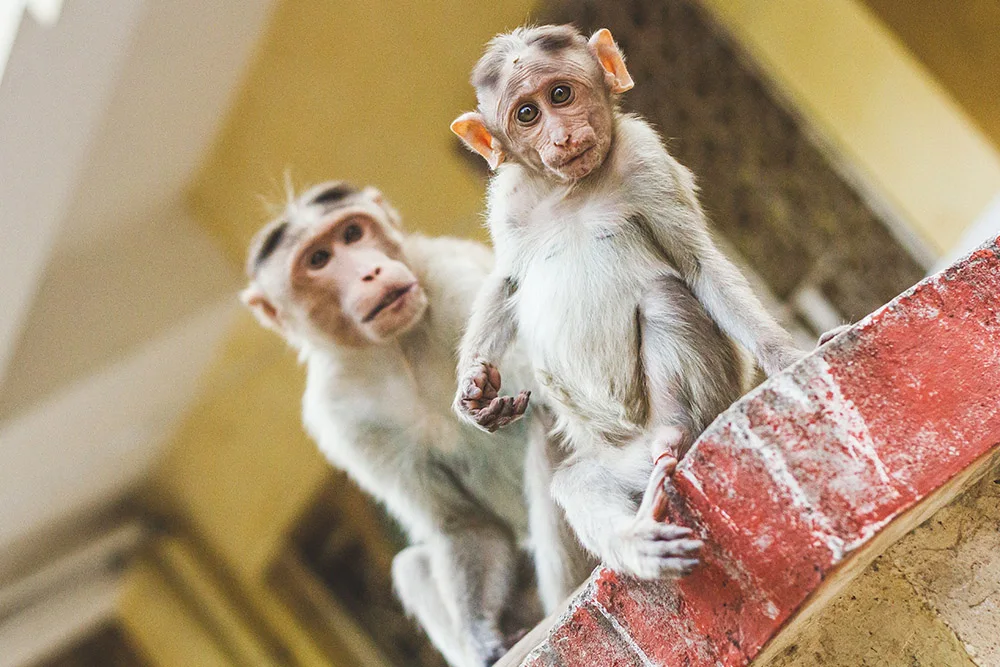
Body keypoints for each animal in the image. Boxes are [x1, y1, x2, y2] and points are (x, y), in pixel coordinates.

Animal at [239, 181, 588, 667]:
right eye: (318, 259)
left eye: (352, 233)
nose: (370, 272)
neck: (399, 345)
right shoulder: (340, 415)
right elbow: (462, 524)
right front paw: (480, 636)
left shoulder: (455, 278)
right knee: (412, 566)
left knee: (550, 423)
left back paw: (565, 600)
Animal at [454, 24, 804, 580]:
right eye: (526, 114)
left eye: (560, 94)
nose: (562, 136)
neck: (569, 190)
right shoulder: (508, 200)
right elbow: (507, 281)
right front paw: (474, 390)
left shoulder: (645, 159)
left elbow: (697, 265)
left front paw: (790, 358)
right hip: (618, 460)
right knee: (579, 481)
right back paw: (640, 536)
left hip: (704, 400)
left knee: (664, 297)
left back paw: (676, 431)